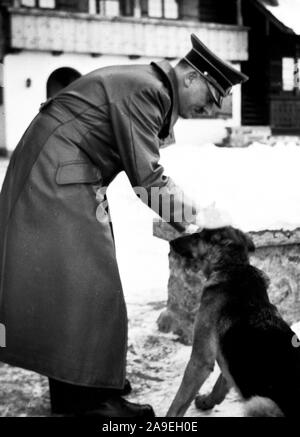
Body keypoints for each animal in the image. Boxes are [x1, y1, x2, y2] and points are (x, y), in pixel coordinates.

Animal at [165, 227, 300, 414]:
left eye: (198, 235)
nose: (171, 242)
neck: (234, 266)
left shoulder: (201, 360)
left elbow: (179, 401)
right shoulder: (226, 356)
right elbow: (220, 384)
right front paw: (207, 401)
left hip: (260, 402)